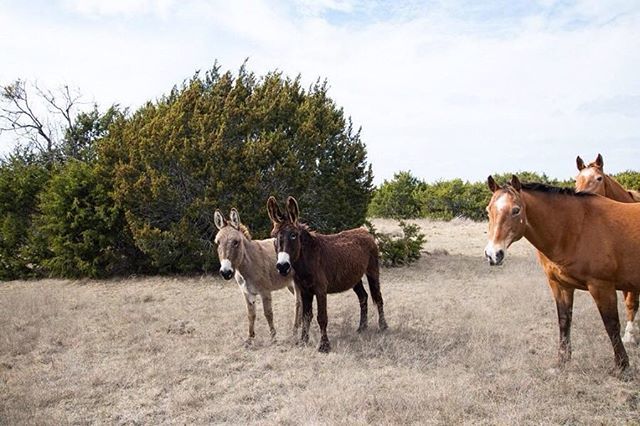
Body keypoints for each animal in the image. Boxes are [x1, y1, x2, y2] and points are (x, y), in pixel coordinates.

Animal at [214, 208, 301, 342]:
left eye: (236, 242)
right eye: (217, 243)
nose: (225, 272)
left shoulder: (265, 291)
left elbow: (268, 313)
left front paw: (273, 337)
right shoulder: (247, 293)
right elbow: (251, 315)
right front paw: (250, 339)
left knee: (297, 303)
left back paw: (295, 330)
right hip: (289, 284)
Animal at [266, 196, 387, 353]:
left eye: (293, 235)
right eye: (274, 236)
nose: (282, 266)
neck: (307, 259)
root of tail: (364, 231)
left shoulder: (320, 290)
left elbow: (322, 317)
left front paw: (324, 346)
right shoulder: (305, 291)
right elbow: (306, 316)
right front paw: (303, 341)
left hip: (372, 271)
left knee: (378, 297)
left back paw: (383, 326)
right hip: (354, 277)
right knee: (363, 296)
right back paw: (362, 327)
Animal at [484, 175, 640, 371]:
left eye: (516, 210)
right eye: (488, 210)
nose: (493, 254)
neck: (575, 227)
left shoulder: (601, 286)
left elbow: (611, 324)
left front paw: (622, 365)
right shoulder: (560, 285)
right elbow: (564, 320)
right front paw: (562, 361)